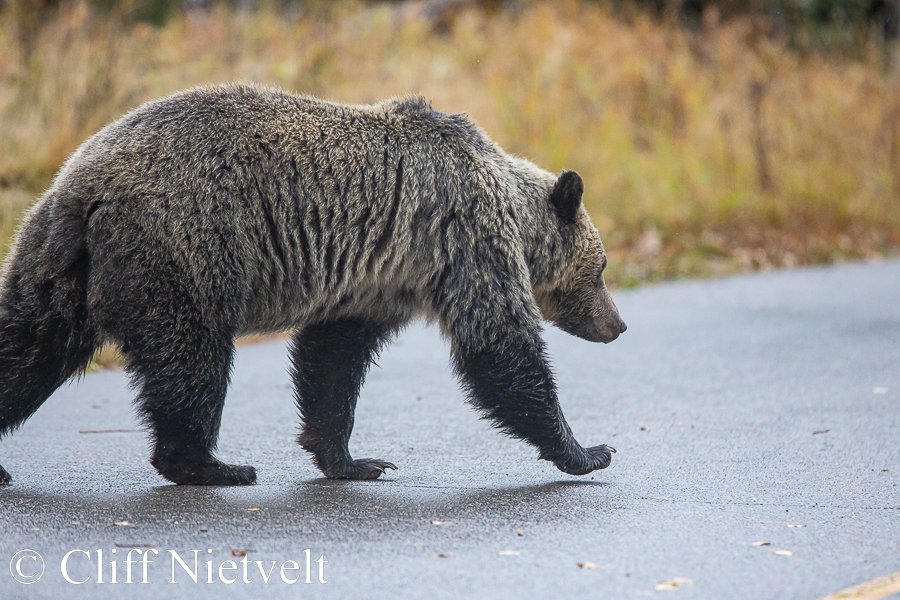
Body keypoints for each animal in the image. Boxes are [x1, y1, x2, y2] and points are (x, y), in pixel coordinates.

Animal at [0, 84, 626, 486]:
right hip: (181, 251)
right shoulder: (462, 232)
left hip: (55, 263)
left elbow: (332, 359)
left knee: (28, 348)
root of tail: (85, 187)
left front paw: (354, 461)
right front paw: (589, 450)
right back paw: (214, 465)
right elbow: (499, 343)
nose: (617, 324)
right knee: (192, 358)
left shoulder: (376, 277)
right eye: (601, 270)